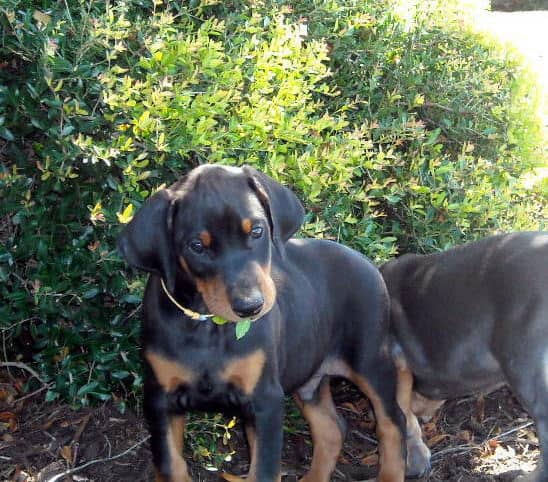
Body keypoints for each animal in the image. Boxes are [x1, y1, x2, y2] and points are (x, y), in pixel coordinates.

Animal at [116, 166, 406, 482]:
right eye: (197, 246)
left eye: (257, 231)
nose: (250, 306)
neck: (208, 325)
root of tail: (368, 262)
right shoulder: (160, 400)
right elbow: (170, 466)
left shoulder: (265, 400)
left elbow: (264, 470)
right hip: (308, 379)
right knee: (331, 430)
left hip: (369, 361)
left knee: (393, 422)